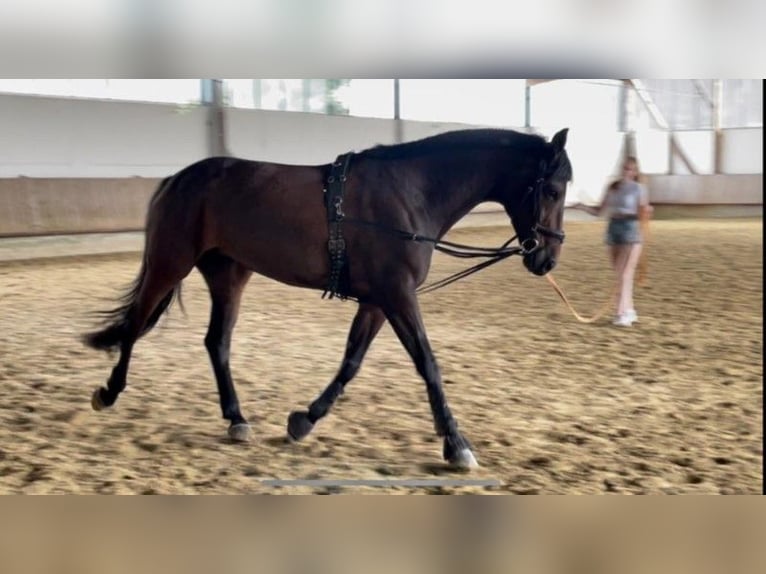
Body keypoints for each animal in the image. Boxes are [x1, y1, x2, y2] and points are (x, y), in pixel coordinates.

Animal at [87, 128, 572, 470]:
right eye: (552, 189)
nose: (547, 259)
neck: (411, 193)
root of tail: (178, 178)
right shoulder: (398, 296)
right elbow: (428, 364)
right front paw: (457, 445)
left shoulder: (378, 301)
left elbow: (351, 362)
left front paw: (304, 420)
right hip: (170, 263)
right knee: (136, 323)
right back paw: (110, 392)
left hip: (228, 274)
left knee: (216, 342)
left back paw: (237, 419)